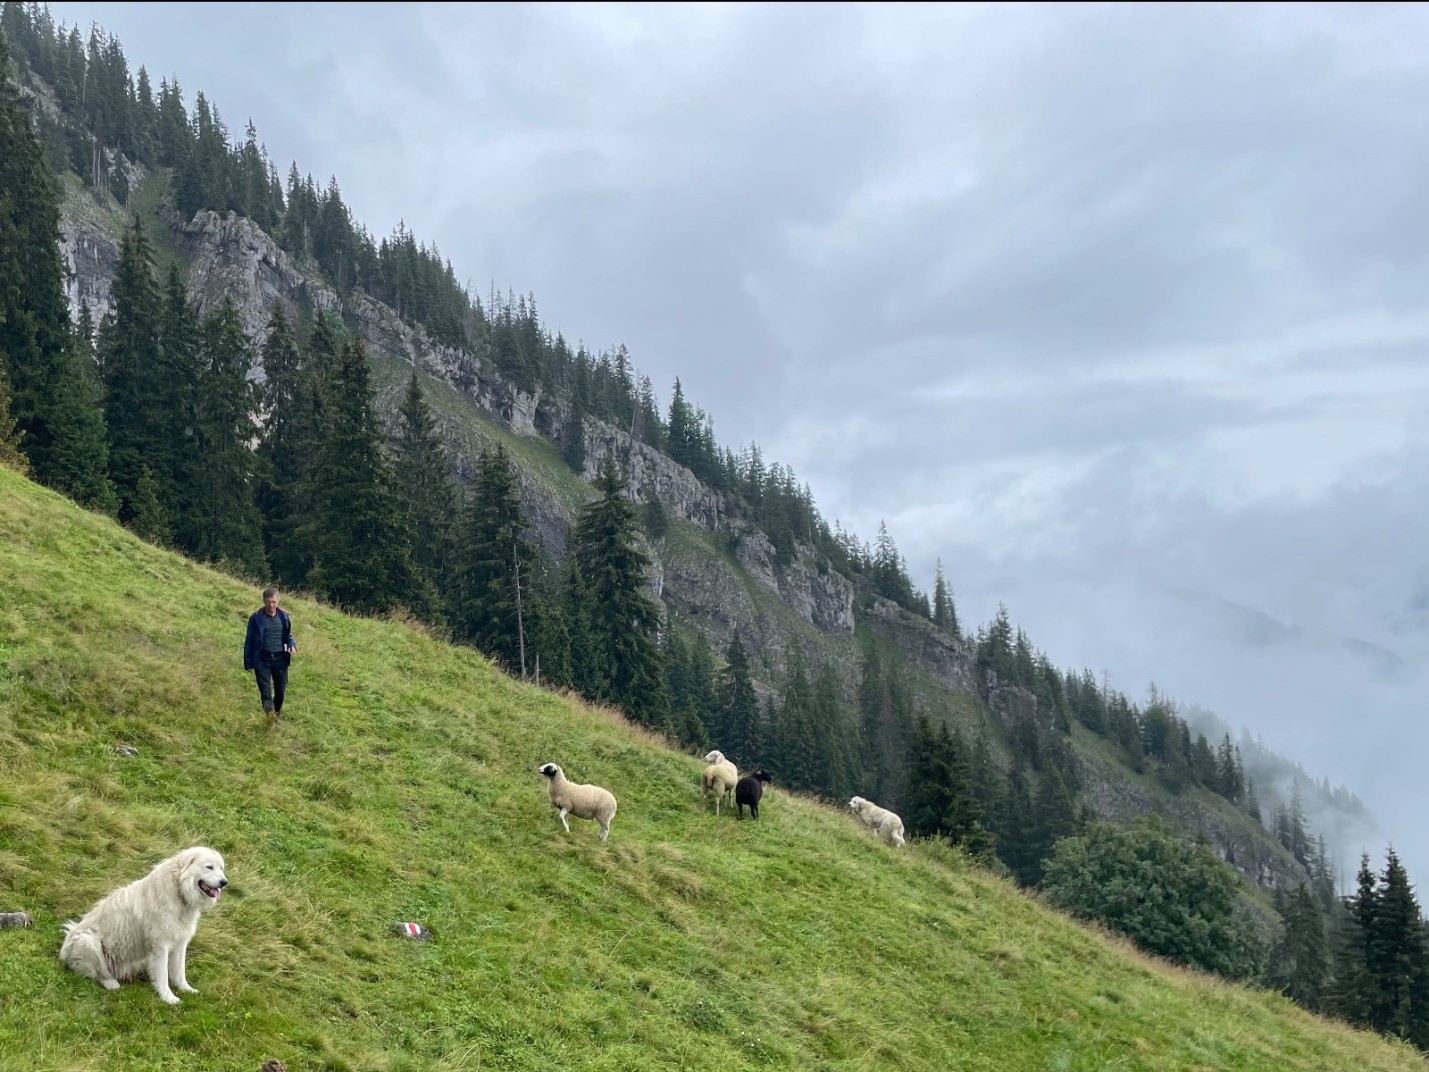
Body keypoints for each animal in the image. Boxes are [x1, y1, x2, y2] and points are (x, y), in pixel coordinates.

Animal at [60, 846, 228, 1006]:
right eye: (209, 867)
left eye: (221, 868)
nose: (224, 883)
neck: (179, 890)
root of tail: (63, 952)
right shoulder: (160, 946)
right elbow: (163, 976)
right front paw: (168, 998)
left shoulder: (180, 943)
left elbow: (179, 972)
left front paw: (186, 990)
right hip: (87, 940)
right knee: (98, 973)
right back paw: (111, 983)